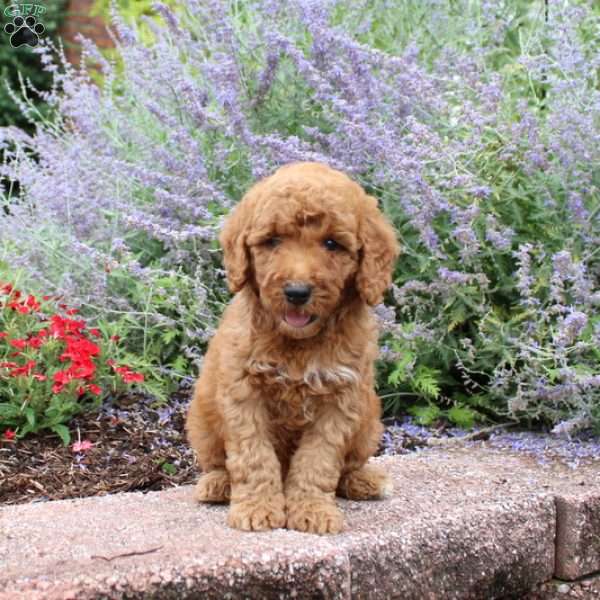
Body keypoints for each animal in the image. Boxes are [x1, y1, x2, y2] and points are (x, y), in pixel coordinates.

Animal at [185, 161, 400, 536]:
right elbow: (253, 455)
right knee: (218, 461)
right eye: (272, 240)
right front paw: (257, 508)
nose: (297, 292)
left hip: (369, 422)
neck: (298, 343)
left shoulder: (341, 397)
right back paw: (217, 485)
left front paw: (313, 510)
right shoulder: (243, 393)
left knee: (347, 467)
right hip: (202, 418)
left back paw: (365, 480)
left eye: (331, 243)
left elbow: (319, 460)